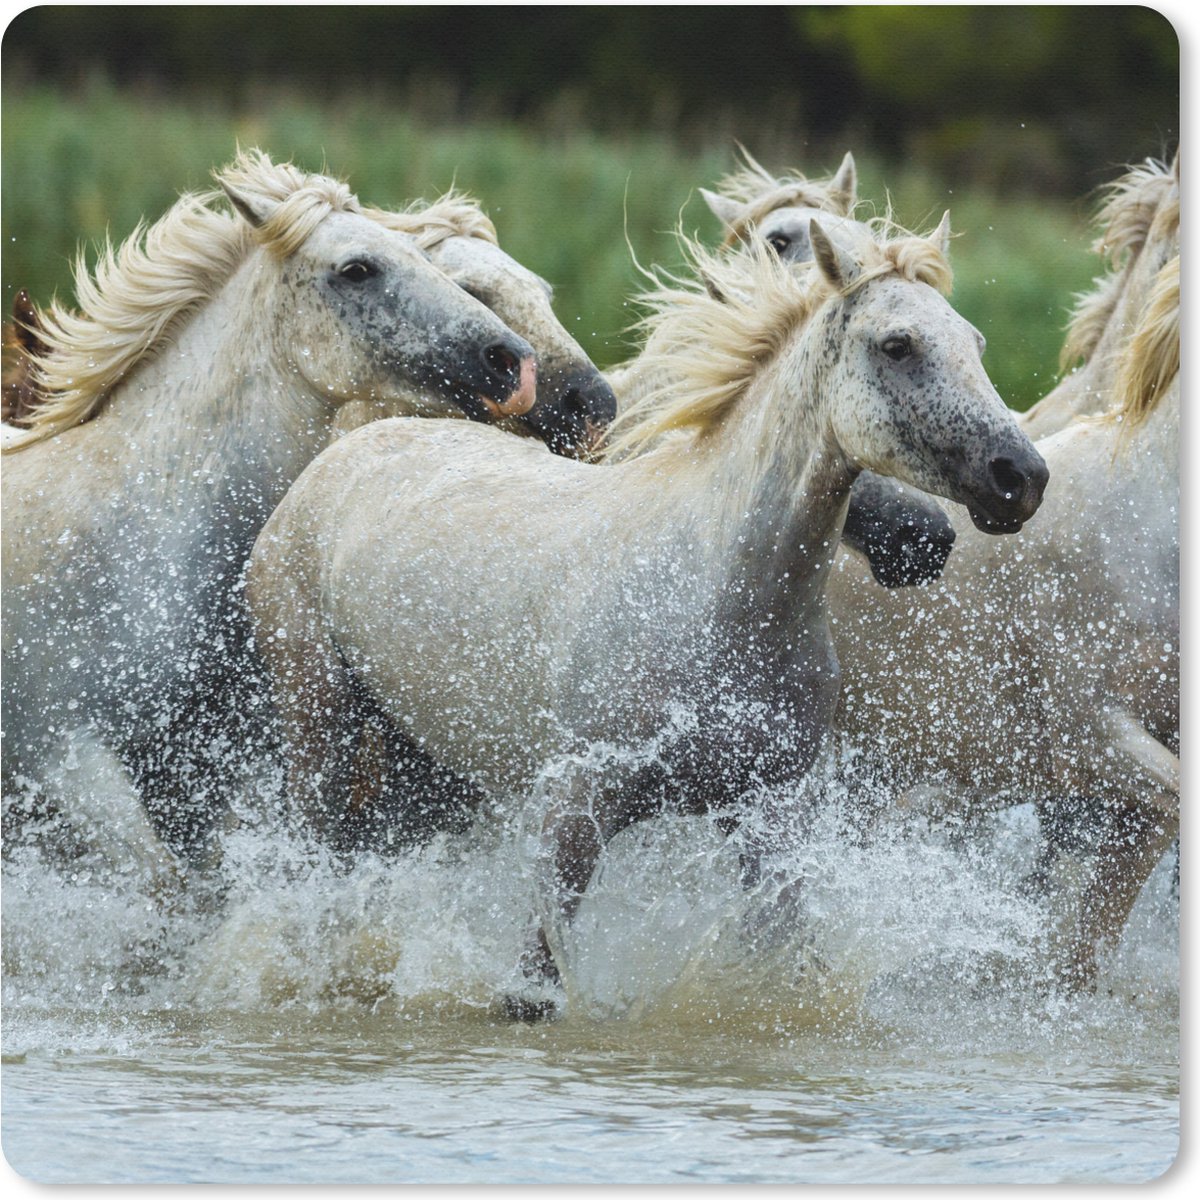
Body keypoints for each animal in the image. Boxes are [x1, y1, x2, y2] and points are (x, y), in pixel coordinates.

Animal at [245, 216, 1048, 999]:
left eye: (975, 344)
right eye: (897, 344)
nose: (1020, 478)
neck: (718, 596)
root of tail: (346, 451)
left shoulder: (767, 820)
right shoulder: (574, 818)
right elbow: (532, 992)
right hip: (318, 722)